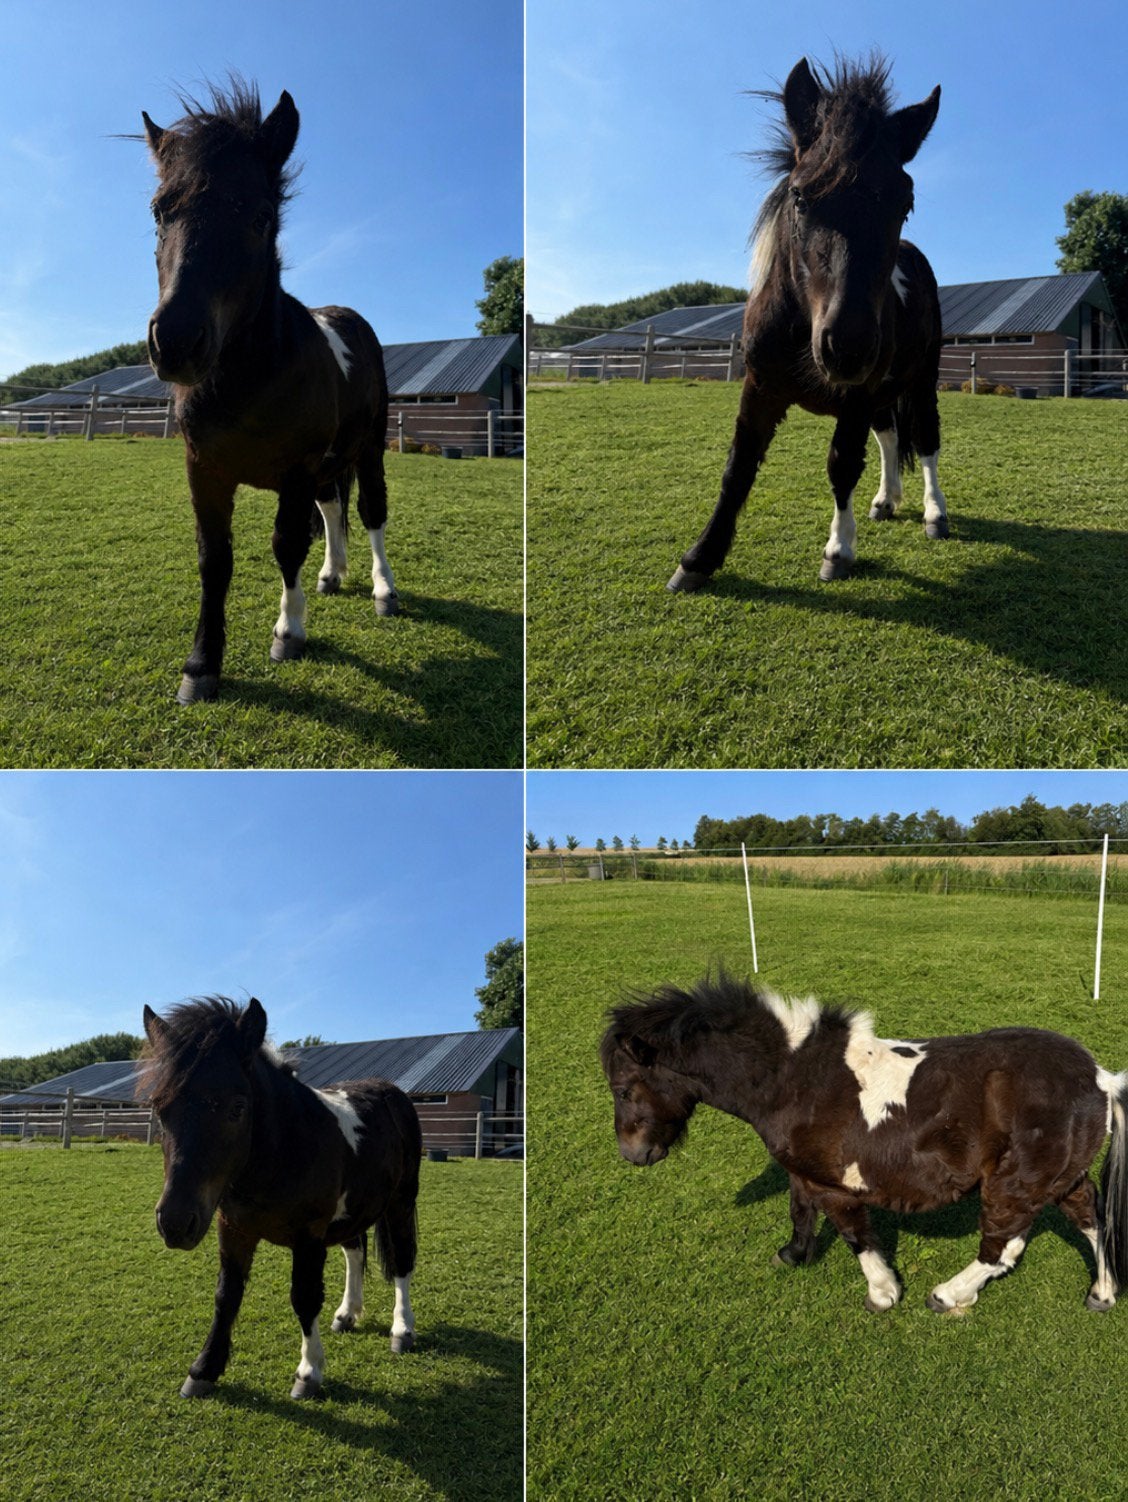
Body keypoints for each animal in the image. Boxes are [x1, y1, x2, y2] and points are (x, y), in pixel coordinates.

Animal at [140, 80, 397, 705]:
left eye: (259, 214)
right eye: (159, 211)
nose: (176, 341)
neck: (246, 382)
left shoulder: (297, 469)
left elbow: (286, 543)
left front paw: (289, 631)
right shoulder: (203, 468)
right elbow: (215, 559)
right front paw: (201, 666)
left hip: (368, 448)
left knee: (370, 509)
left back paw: (383, 590)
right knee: (332, 507)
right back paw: (332, 575)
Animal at [142, 996, 421, 1399]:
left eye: (238, 1108)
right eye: (160, 1110)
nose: (176, 1223)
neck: (283, 1148)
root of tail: (392, 1093)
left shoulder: (309, 1236)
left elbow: (304, 1298)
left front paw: (308, 1373)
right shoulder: (234, 1229)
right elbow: (226, 1296)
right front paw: (204, 1369)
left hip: (401, 1201)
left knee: (401, 1260)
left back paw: (402, 1330)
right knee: (355, 1251)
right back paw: (347, 1314)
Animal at [601, 972, 1128, 1315]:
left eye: (623, 1090)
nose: (633, 1154)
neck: (793, 1080)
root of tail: (1100, 1078)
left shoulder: (836, 1185)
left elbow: (855, 1234)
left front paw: (883, 1293)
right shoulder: (804, 1170)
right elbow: (799, 1211)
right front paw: (794, 1254)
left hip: (1016, 1181)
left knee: (1003, 1245)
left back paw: (948, 1294)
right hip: (1060, 1177)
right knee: (1090, 1218)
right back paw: (1102, 1294)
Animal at [668, 55, 950, 592]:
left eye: (905, 203)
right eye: (800, 197)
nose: (848, 346)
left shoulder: (856, 397)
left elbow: (842, 465)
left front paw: (838, 551)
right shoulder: (760, 388)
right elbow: (737, 468)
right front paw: (698, 559)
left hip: (921, 377)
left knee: (924, 438)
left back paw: (934, 514)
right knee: (890, 435)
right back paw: (886, 500)